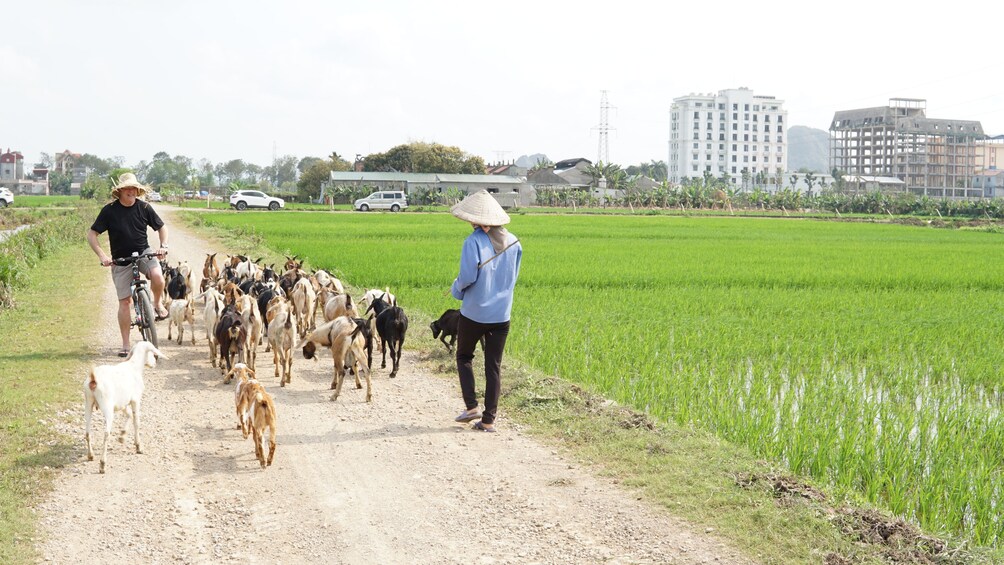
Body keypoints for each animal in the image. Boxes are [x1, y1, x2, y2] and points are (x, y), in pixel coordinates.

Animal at [84, 343, 166, 475]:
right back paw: (102, 464)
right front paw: (138, 446)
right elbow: (136, 421)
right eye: (151, 352)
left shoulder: (121, 403)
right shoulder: (135, 400)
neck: (134, 367)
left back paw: (91, 456)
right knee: (106, 434)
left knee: (87, 432)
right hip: (107, 407)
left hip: (88, 403)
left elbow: (129, 415)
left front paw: (122, 436)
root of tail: (93, 380)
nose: (154, 363)